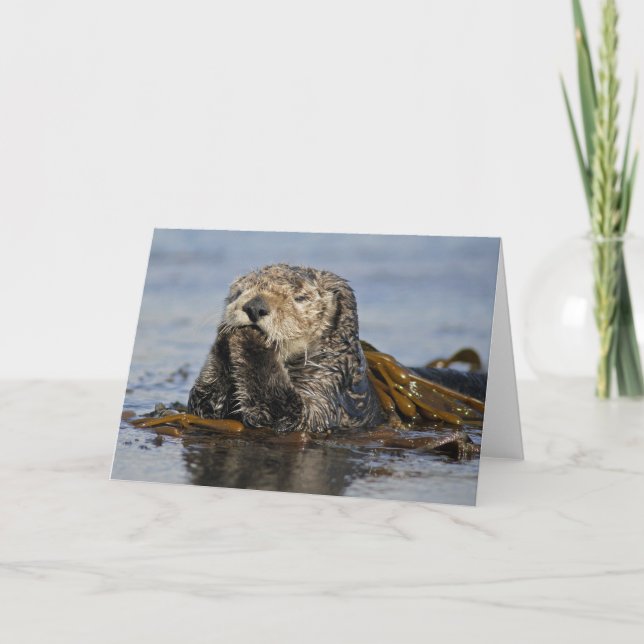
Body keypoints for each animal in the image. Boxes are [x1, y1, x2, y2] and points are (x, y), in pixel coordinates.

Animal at [187, 264, 386, 433]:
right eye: (239, 292)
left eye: (300, 298)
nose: (254, 306)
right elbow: (204, 403)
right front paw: (225, 334)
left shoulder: (326, 389)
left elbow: (285, 412)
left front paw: (251, 338)